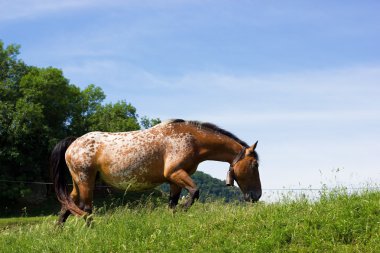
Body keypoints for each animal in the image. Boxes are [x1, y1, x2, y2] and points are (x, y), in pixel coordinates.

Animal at [49, 119, 262, 224]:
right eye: (255, 165)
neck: (191, 139)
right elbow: (195, 192)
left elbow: (173, 204)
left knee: (67, 207)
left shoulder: (175, 180)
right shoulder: (175, 173)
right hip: (85, 180)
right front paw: (185, 209)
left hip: (79, 181)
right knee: (86, 210)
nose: (256, 196)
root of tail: (73, 143)